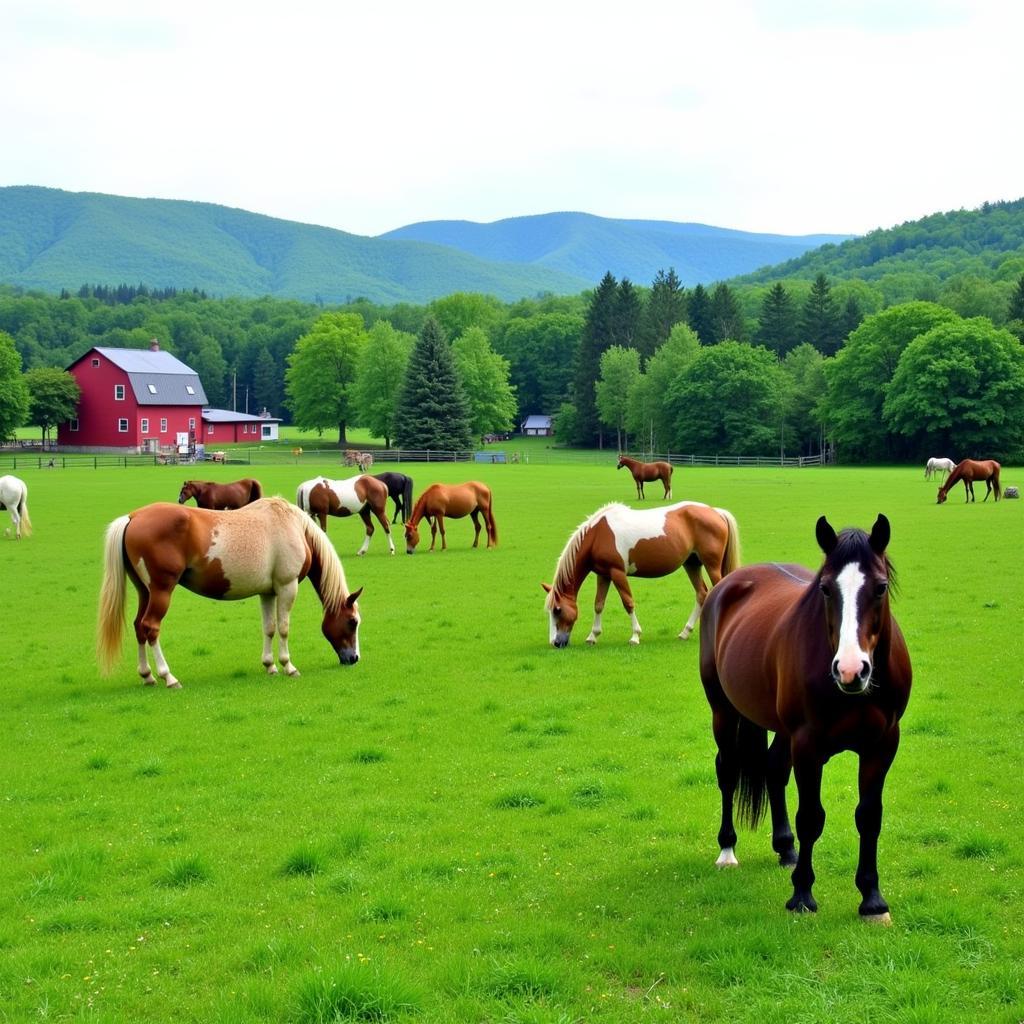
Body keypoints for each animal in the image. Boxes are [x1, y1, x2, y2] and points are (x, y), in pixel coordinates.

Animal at [96, 495, 366, 688]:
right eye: (352, 622)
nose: (354, 659)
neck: (293, 526)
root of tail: (132, 517)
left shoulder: (268, 592)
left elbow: (269, 628)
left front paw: (270, 666)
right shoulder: (286, 587)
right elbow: (283, 628)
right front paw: (288, 666)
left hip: (145, 592)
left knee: (139, 627)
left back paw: (147, 676)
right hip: (161, 591)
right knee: (151, 627)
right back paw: (168, 677)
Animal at [544, 497, 737, 647]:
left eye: (558, 610)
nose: (555, 643)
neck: (597, 536)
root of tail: (716, 512)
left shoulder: (617, 573)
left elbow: (628, 603)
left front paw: (635, 636)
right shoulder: (603, 575)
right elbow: (598, 604)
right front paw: (593, 636)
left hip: (711, 565)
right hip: (692, 564)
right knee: (702, 594)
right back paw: (685, 632)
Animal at [696, 516, 913, 925]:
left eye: (880, 588)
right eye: (826, 589)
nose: (850, 670)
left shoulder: (882, 745)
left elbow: (869, 817)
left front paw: (872, 900)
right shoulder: (808, 745)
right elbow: (811, 816)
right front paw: (802, 895)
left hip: (782, 731)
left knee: (774, 768)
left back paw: (786, 849)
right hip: (724, 712)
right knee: (728, 770)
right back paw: (728, 850)